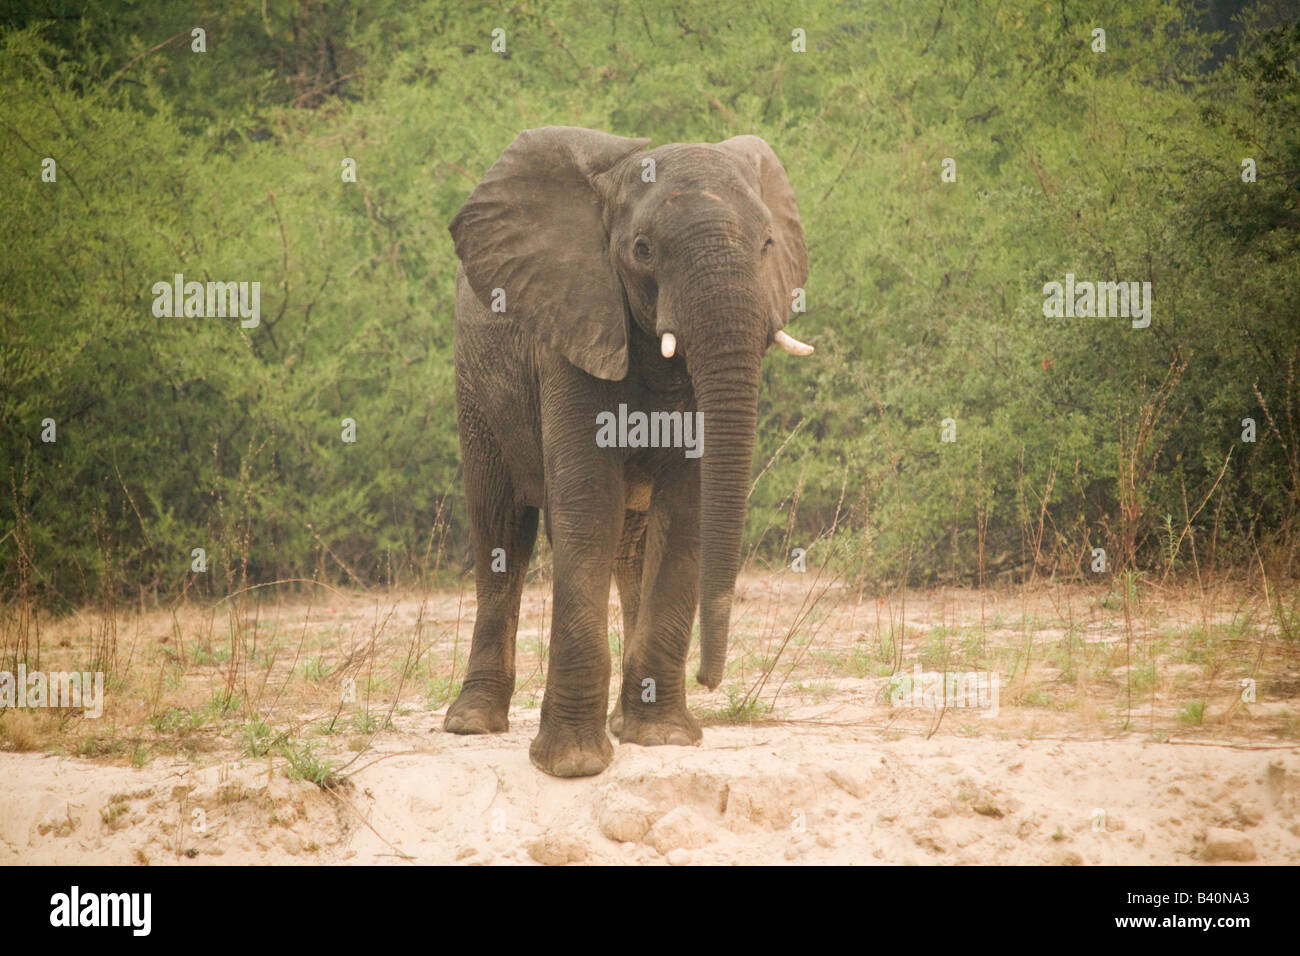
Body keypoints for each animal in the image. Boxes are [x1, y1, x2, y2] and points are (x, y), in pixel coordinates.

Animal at [443, 126, 811, 777]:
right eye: (642, 249)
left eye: (768, 244)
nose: (710, 679)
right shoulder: (571, 328)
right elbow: (589, 504)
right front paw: (572, 764)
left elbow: (686, 511)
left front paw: (661, 736)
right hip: (477, 384)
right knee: (501, 526)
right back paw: (472, 723)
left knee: (631, 543)